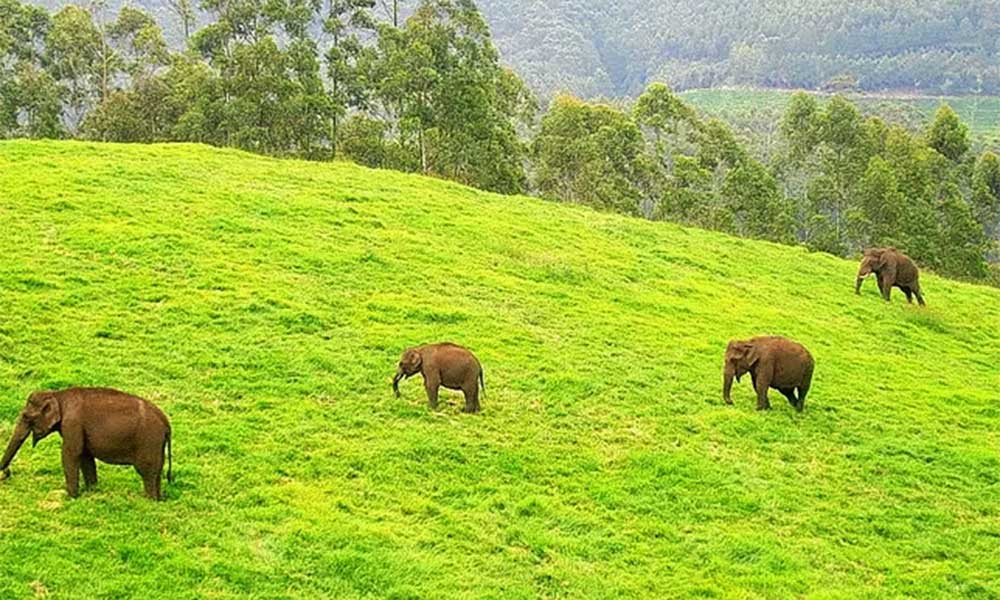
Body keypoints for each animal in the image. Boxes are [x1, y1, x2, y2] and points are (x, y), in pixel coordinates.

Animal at [0, 386, 173, 500]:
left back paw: (148, 500)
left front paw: (71, 497)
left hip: (149, 440)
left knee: (147, 472)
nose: (7, 472)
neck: (57, 394)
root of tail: (166, 423)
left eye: (26, 416)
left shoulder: (72, 422)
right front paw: (92, 491)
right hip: (157, 444)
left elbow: (71, 453)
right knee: (156, 472)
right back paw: (158, 499)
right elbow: (85, 456)